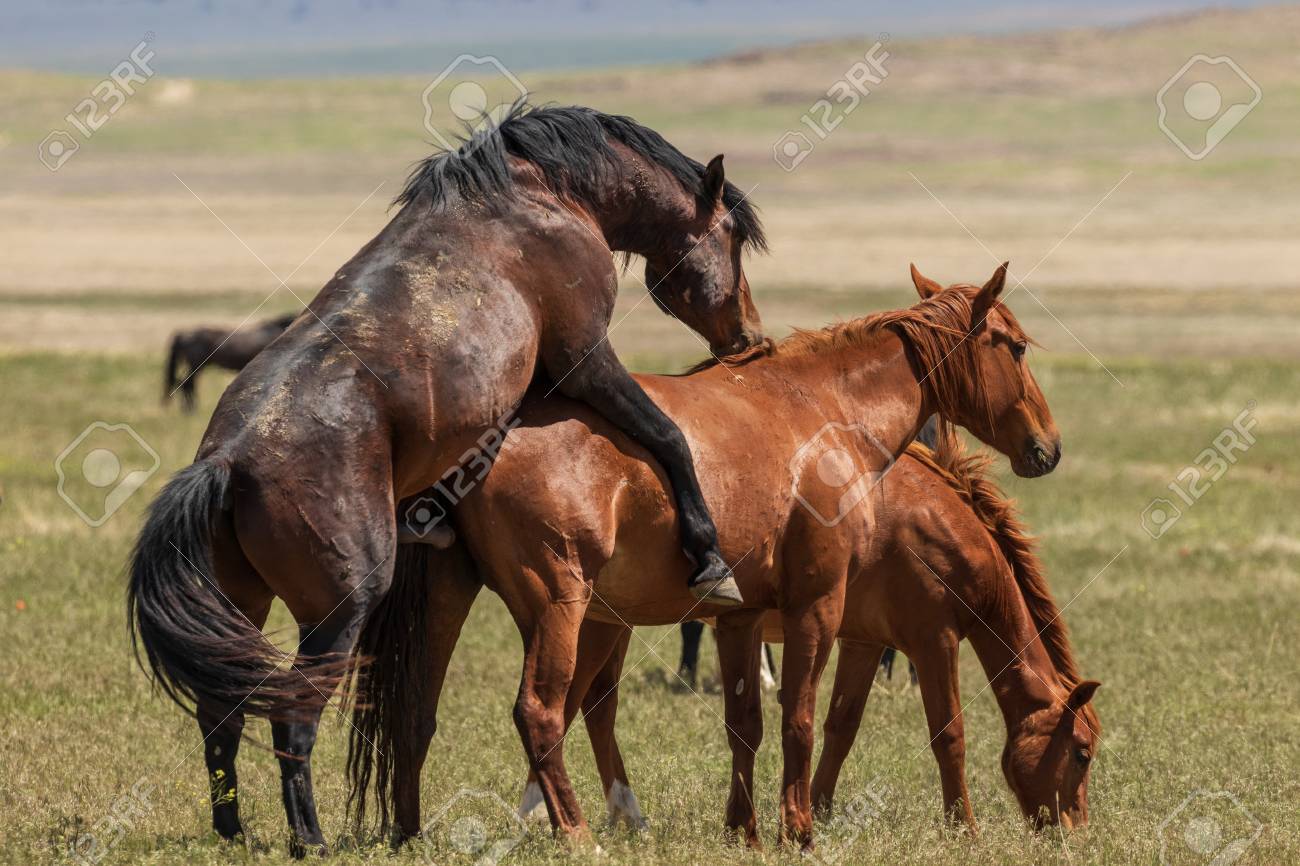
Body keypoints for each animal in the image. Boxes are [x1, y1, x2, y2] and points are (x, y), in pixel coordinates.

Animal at [351, 262, 1060, 842]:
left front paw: (745, 830)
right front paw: (799, 828)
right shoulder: (818, 607)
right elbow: (800, 718)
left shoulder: (739, 619)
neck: (825, 411)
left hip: (451, 597)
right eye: (1019, 346)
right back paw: (577, 832)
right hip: (560, 606)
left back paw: (409, 831)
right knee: (541, 713)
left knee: (416, 708)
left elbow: (744, 723)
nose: (1048, 448)